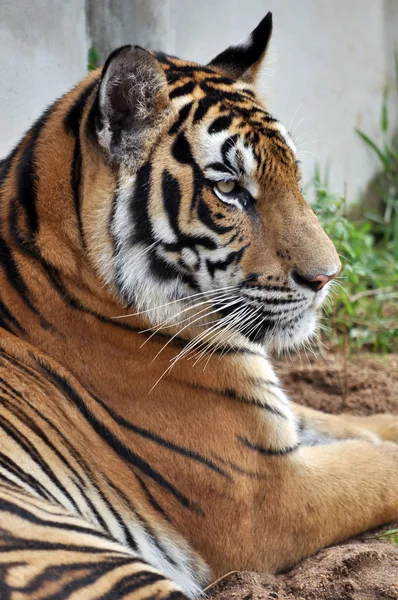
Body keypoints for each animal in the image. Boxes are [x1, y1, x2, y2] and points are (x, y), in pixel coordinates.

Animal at [0, 10, 398, 600]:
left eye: (295, 175)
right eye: (230, 189)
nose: (328, 276)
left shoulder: (277, 422)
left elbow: (365, 423)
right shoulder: (271, 493)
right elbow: (379, 462)